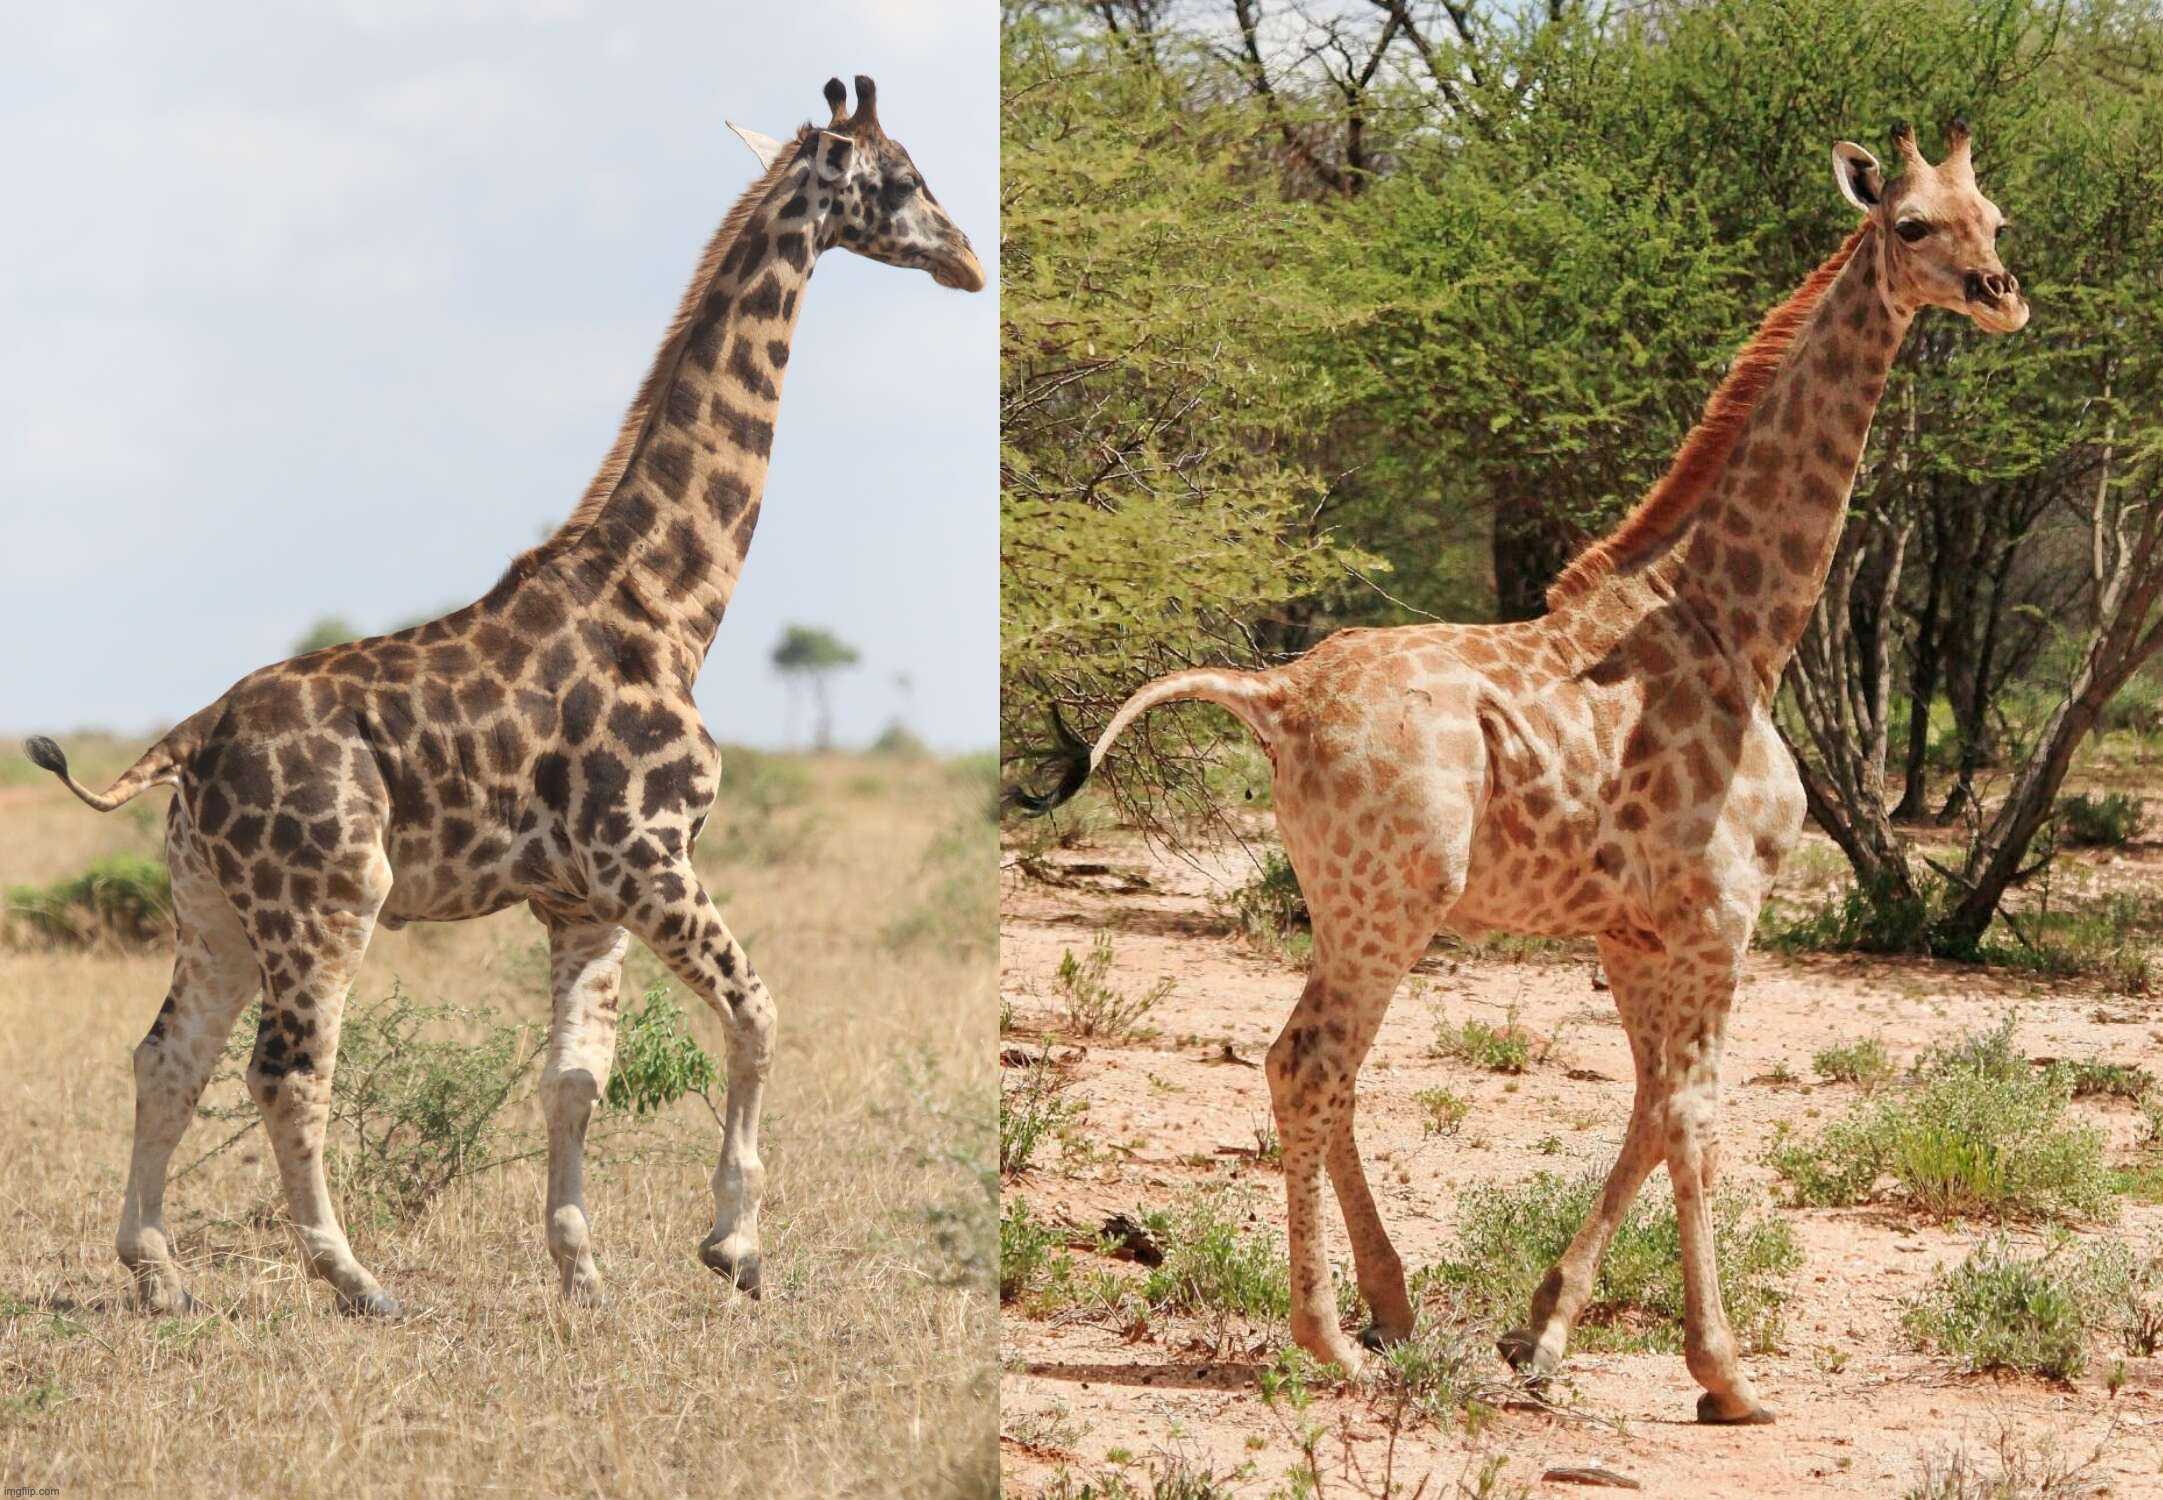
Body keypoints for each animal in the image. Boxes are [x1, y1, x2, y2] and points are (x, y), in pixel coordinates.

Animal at [23, 76, 990, 1316]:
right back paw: (353, 1277)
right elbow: (758, 1011)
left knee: (168, 1057)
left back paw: (157, 1274)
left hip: (211, 905)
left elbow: (574, 1079)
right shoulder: (649, 854)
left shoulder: (583, 899)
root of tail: (192, 739)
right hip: (327, 896)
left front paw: (582, 1269)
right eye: (904, 178)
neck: (670, 607)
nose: (969, 260)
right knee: (286, 1070)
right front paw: (733, 1246)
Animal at [1012, 122, 2024, 1419]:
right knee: (1308, 1063)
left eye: (1994, 216)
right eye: (1911, 224)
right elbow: (1695, 1115)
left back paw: (1389, 1309)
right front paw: (1726, 1376)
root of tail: (1275, 700)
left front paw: (1539, 1336)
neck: (1739, 624)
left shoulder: (1632, 927)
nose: (2000, 294)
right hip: (1398, 900)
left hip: (1345, 900)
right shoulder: (1723, 912)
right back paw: (1331, 1341)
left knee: (1327, 1069)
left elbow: (1648, 1107)